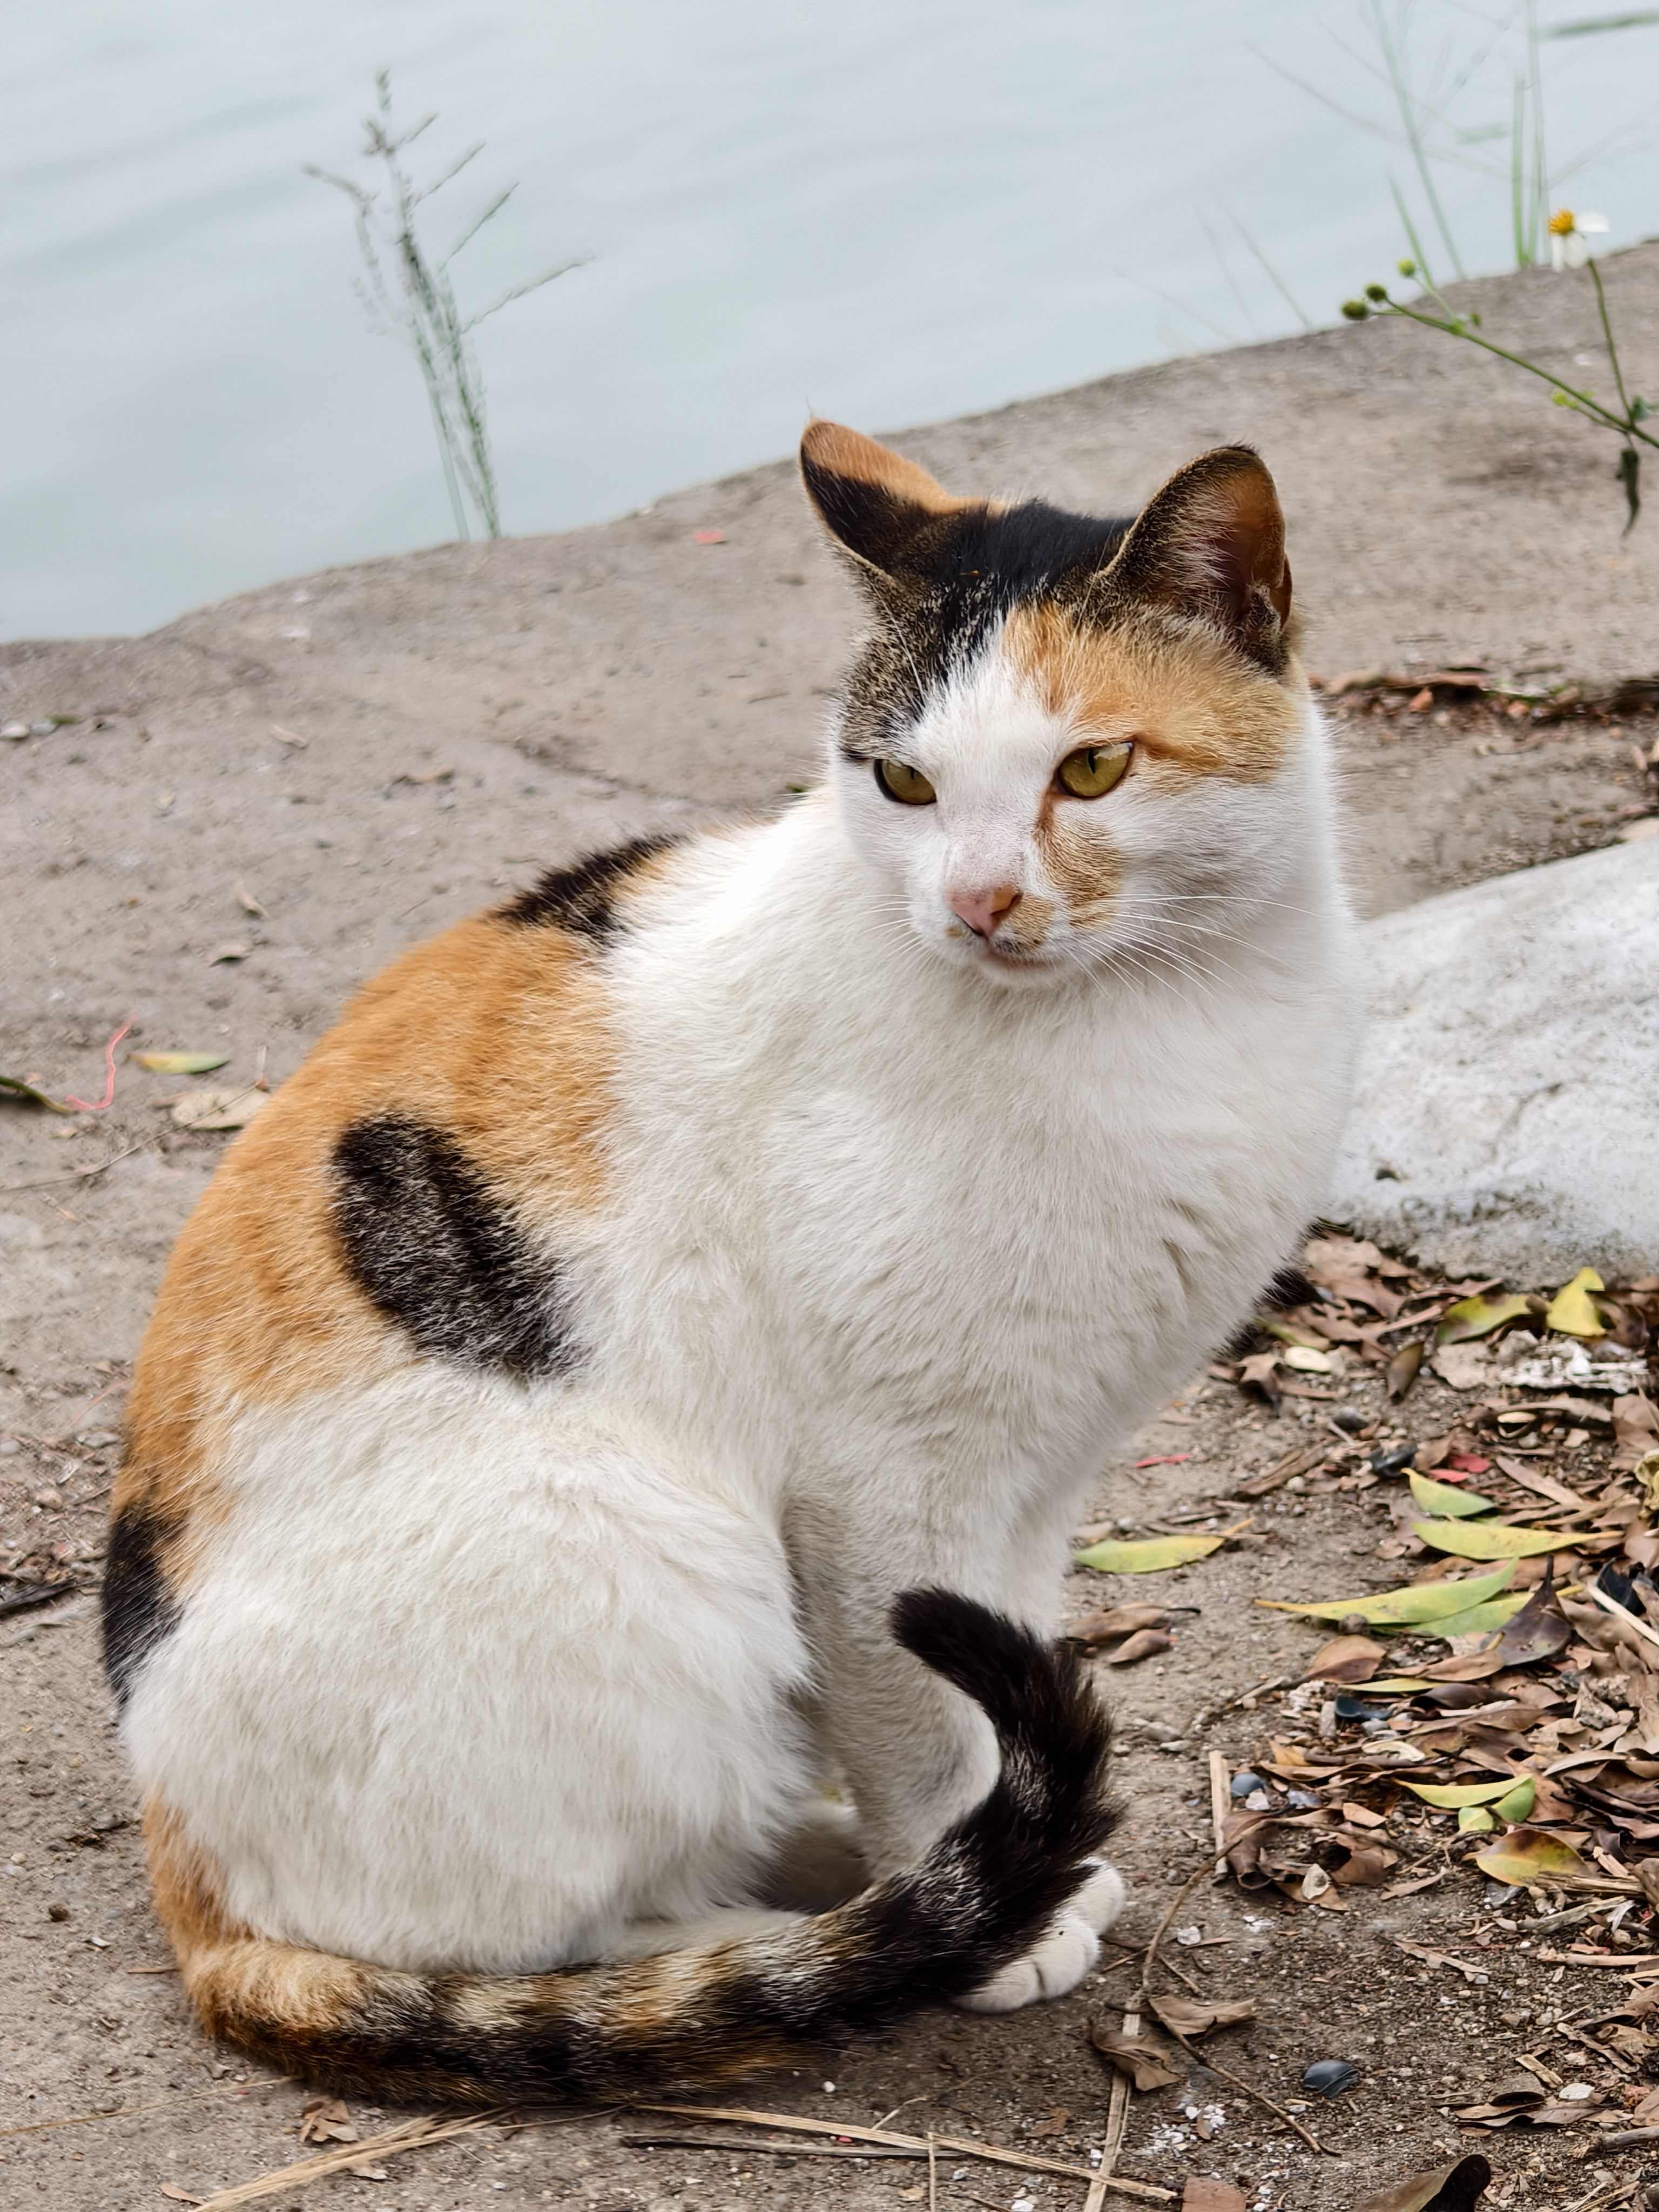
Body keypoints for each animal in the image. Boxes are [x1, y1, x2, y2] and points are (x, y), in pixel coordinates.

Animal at [103, 419, 1357, 2103]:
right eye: (904, 782)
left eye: (1090, 768)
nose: (975, 903)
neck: (1171, 1016)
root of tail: (190, 1883)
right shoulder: (879, 1495)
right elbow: (926, 1720)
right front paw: (992, 1915)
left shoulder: (1035, 1472)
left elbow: (1000, 1671)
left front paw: (1008, 1859)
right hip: (642, 1547)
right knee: (547, 1939)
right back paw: (827, 1921)